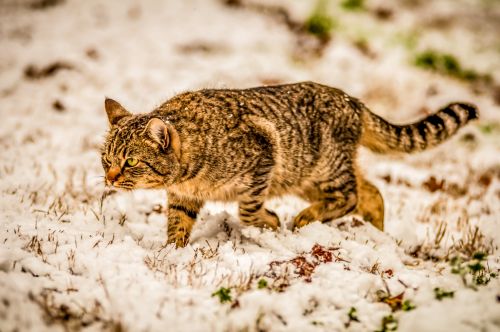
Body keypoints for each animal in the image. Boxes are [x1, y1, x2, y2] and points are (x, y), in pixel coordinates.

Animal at [100, 81, 476, 246]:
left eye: (131, 160)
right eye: (106, 159)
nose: (110, 178)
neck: (187, 176)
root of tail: (354, 101)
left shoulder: (263, 157)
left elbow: (249, 210)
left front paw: (270, 221)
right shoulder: (183, 197)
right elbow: (177, 225)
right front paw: (172, 253)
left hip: (324, 168)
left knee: (351, 194)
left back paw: (306, 219)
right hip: (310, 177)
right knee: (371, 192)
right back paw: (376, 234)